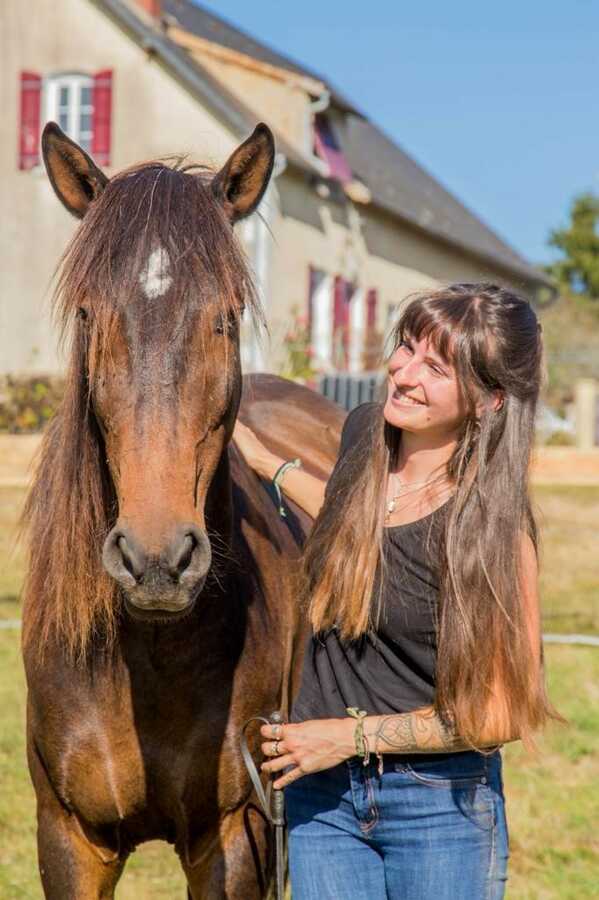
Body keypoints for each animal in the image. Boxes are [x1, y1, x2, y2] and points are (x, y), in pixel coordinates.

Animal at [22, 121, 346, 900]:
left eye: (225, 317)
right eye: (89, 315)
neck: (148, 656)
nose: (157, 560)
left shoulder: (235, 835)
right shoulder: (69, 840)